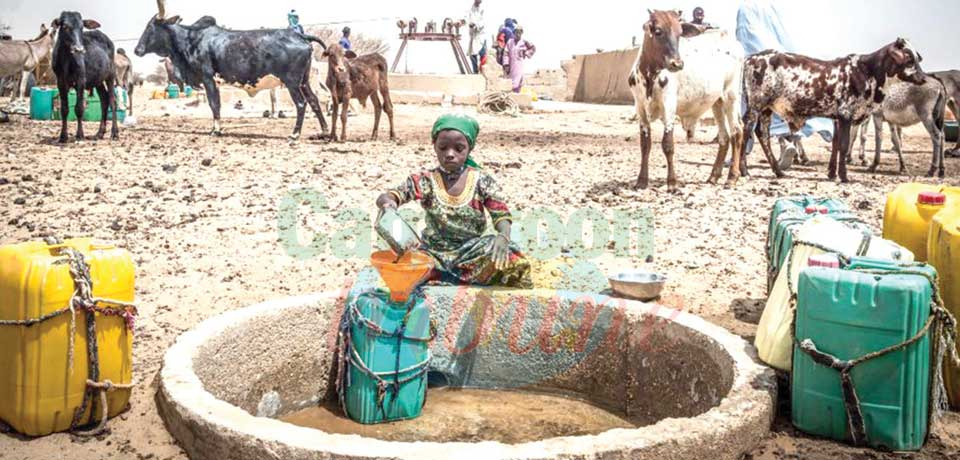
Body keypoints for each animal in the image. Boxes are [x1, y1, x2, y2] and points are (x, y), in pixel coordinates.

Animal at [52, 11, 118, 143]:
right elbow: (64, 109)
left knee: (113, 101)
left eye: (82, 27)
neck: (67, 61)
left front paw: (80, 135)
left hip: (110, 75)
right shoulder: (60, 82)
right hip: (98, 80)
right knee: (104, 100)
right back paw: (99, 133)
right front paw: (63, 136)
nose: (79, 49)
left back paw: (114, 133)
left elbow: (79, 108)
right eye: (65, 26)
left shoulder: (81, 80)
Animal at [133, 0, 330, 139]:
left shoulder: (207, 79)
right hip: (304, 81)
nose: (137, 50)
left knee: (302, 103)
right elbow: (217, 104)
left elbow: (214, 104)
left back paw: (295, 134)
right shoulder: (215, 82)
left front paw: (215, 131)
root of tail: (300, 36)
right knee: (314, 101)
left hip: (292, 82)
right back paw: (325, 132)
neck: (191, 39)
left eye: (150, 27)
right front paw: (217, 129)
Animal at [628, 9, 748, 191]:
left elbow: (668, 145)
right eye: (658, 31)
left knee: (737, 132)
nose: (677, 64)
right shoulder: (640, 108)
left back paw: (732, 177)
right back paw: (713, 176)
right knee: (724, 137)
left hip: (731, 96)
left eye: (680, 33)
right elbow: (645, 145)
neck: (650, 76)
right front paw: (641, 180)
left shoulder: (669, 106)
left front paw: (672, 182)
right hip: (717, 101)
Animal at [740, 38, 928, 181]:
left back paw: (778, 171)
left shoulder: (838, 119)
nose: (923, 78)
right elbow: (843, 146)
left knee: (762, 133)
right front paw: (844, 176)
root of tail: (750, 58)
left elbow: (836, 145)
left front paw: (832, 173)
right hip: (756, 106)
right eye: (909, 59)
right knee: (747, 129)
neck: (867, 71)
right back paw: (744, 171)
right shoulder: (846, 116)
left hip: (766, 108)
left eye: (917, 58)